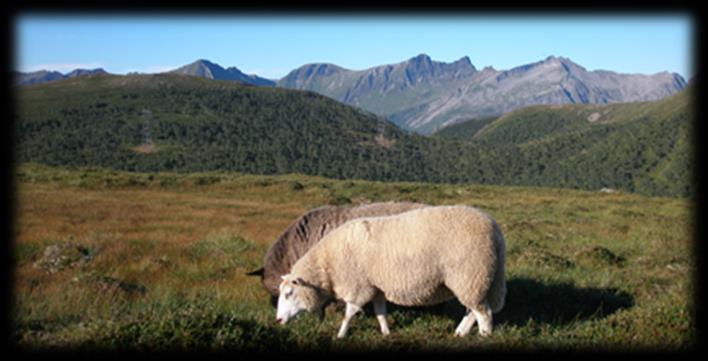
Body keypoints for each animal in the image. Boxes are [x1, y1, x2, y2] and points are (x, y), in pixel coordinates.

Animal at [276, 205, 504, 338]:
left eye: (289, 293)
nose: (277, 320)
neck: (328, 265)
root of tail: (495, 228)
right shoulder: (375, 286)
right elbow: (380, 312)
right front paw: (386, 332)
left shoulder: (359, 286)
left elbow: (349, 313)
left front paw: (341, 334)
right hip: (475, 279)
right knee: (474, 310)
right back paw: (461, 332)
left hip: (470, 275)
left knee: (483, 312)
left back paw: (484, 336)